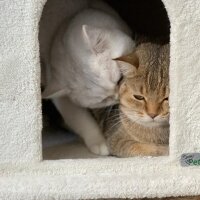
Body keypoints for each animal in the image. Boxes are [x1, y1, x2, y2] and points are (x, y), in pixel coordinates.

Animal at [40, 0, 136, 155]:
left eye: (119, 80)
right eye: (104, 100)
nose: (117, 97)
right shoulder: (62, 99)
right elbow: (81, 120)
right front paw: (99, 143)